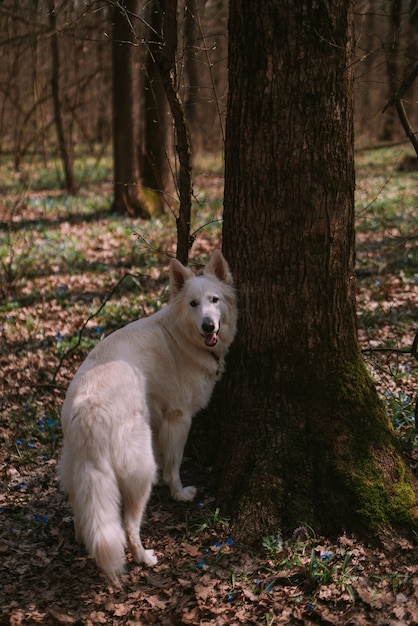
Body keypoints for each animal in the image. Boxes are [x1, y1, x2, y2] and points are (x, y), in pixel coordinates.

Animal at [57, 249, 237, 576]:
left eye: (214, 300)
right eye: (193, 304)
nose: (208, 326)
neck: (182, 335)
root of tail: (88, 410)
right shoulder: (178, 418)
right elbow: (174, 464)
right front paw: (179, 493)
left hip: (79, 468)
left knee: (84, 511)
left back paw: (83, 538)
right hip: (140, 466)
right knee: (128, 526)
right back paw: (143, 556)